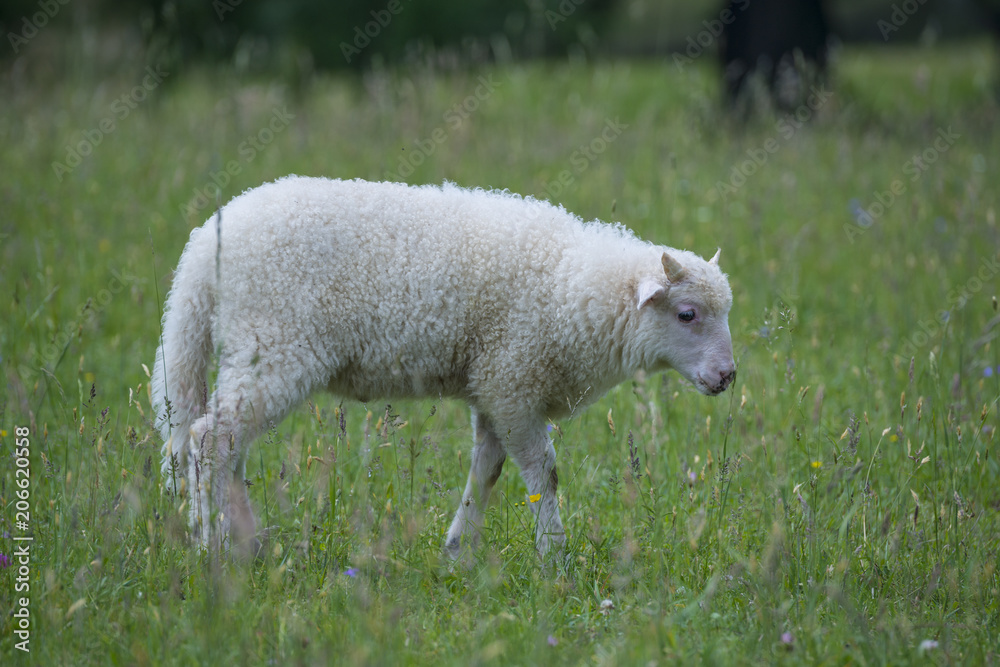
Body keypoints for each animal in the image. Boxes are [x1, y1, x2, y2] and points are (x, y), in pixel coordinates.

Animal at [150, 176, 736, 560]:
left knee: (227, 445)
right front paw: (554, 555)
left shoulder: (494, 385)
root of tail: (201, 253)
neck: (572, 286)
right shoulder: (514, 381)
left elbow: (488, 468)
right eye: (687, 314)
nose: (728, 377)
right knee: (209, 441)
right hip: (273, 346)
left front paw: (459, 548)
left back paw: (245, 541)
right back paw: (211, 544)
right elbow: (542, 472)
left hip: (252, 352)